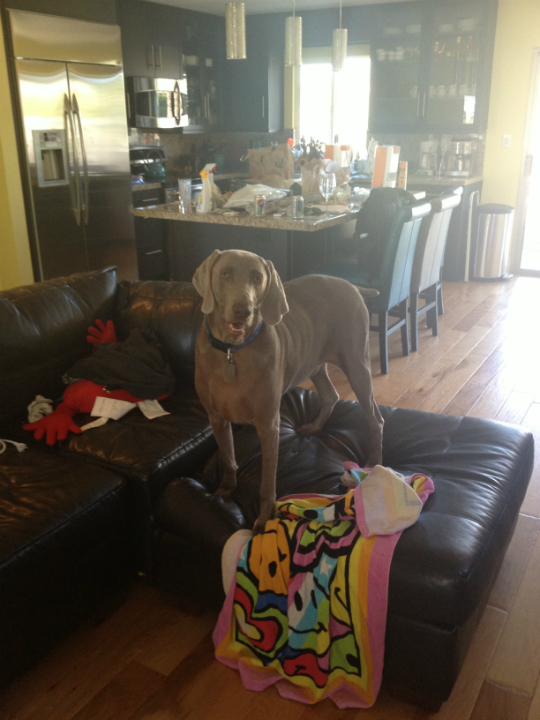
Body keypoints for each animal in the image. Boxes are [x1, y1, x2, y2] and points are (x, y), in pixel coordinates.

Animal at [192, 250, 382, 532]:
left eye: (257, 277)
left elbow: (267, 482)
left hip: (356, 363)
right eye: (225, 273)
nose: (242, 311)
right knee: (331, 396)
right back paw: (314, 427)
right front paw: (224, 491)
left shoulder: (268, 425)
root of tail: (352, 286)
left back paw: (373, 463)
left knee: (375, 418)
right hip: (315, 362)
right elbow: (227, 458)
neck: (232, 351)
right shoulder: (216, 418)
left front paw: (262, 520)